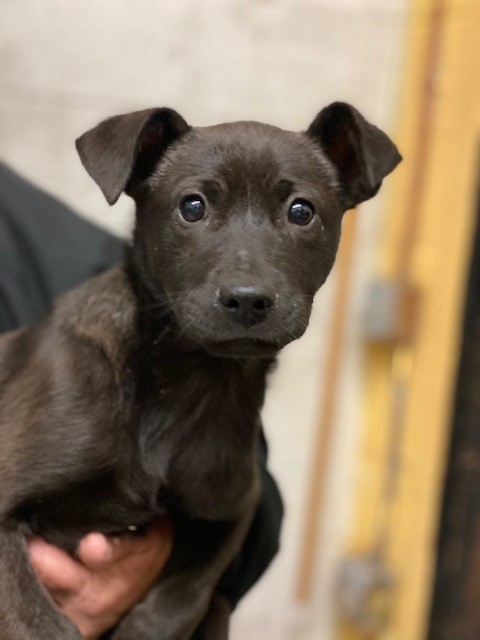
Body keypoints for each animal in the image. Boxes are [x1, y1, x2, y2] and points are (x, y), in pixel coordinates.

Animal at [0, 102, 400, 636]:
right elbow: (41, 623)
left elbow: (184, 599)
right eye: (192, 207)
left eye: (301, 211)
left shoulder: (233, 506)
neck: (188, 378)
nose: (247, 300)